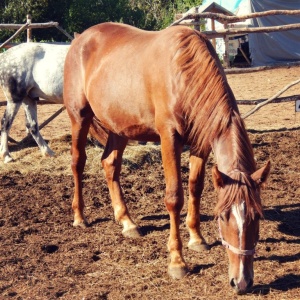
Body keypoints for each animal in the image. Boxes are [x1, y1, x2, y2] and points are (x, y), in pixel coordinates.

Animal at [64, 22, 270, 294]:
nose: (242, 281)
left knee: (110, 165)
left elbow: (195, 187)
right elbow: (174, 198)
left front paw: (197, 238)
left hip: (119, 128)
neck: (184, 72)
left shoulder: (200, 142)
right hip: (79, 117)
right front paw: (177, 261)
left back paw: (127, 221)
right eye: (223, 216)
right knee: (78, 163)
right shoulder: (169, 138)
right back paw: (79, 216)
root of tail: (80, 39)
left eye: (257, 216)